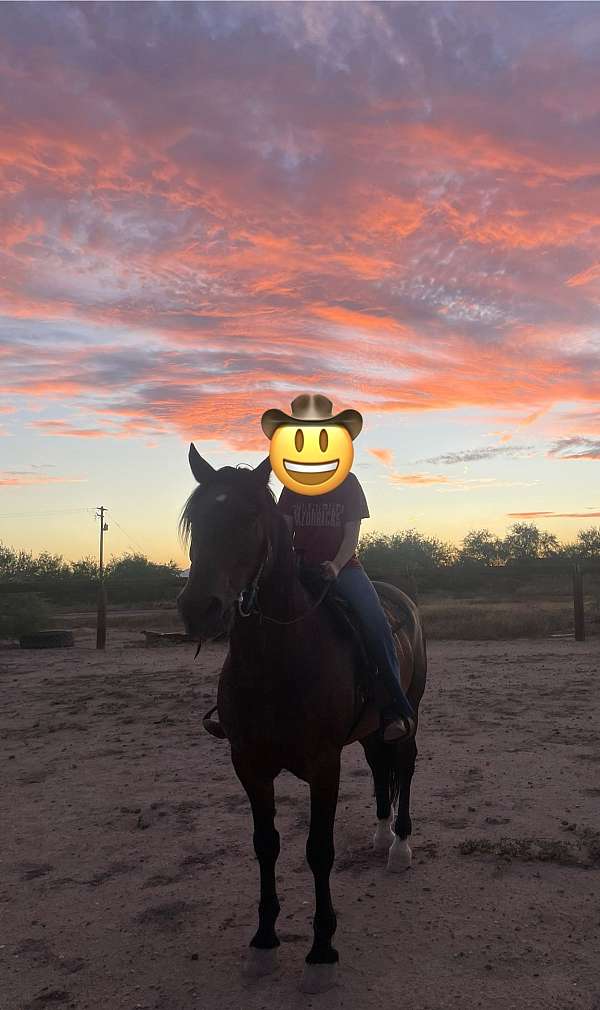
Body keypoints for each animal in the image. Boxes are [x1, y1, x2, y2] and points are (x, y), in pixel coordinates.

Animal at [174, 444, 428, 993]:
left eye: (249, 518)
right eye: (195, 519)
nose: (199, 607)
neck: (279, 658)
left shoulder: (323, 765)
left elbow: (318, 850)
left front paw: (321, 951)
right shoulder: (248, 765)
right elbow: (265, 845)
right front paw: (263, 942)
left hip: (410, 713)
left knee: (404, 764)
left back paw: (399, 846)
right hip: (368, 731)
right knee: (379, 766)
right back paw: (380, 834)